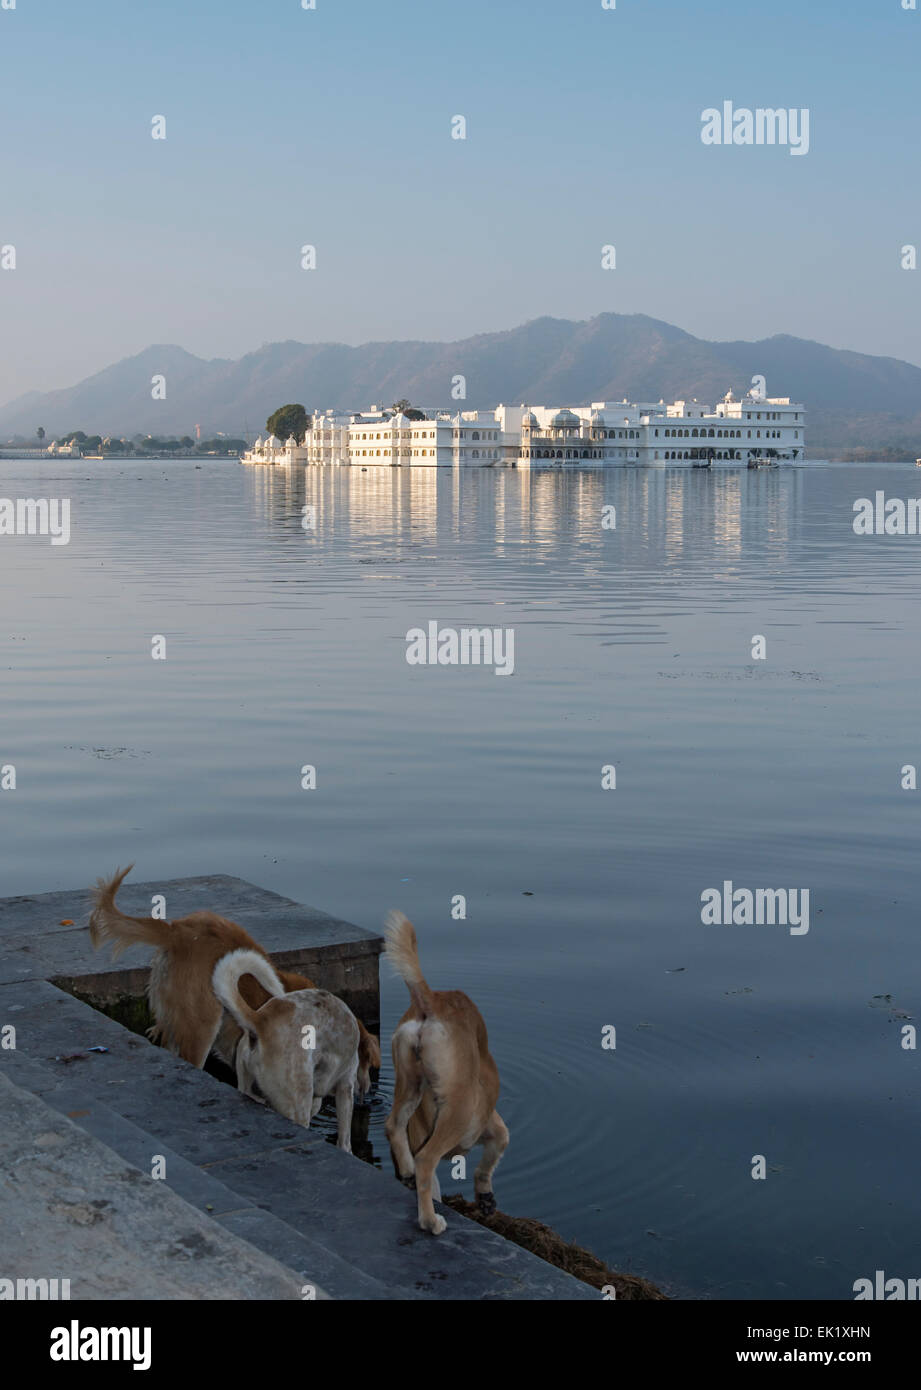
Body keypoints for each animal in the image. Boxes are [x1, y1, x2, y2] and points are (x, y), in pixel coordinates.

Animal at [383, 917, 511, 1234]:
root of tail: (432, 1001)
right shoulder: (491, 1125)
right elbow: (493, 1153)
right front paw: (485, 1196)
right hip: (458, 1110)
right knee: (426, 1160)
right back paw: (430, 1221)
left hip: (409, 1084)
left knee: (394, 1127)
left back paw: (407, 1171)